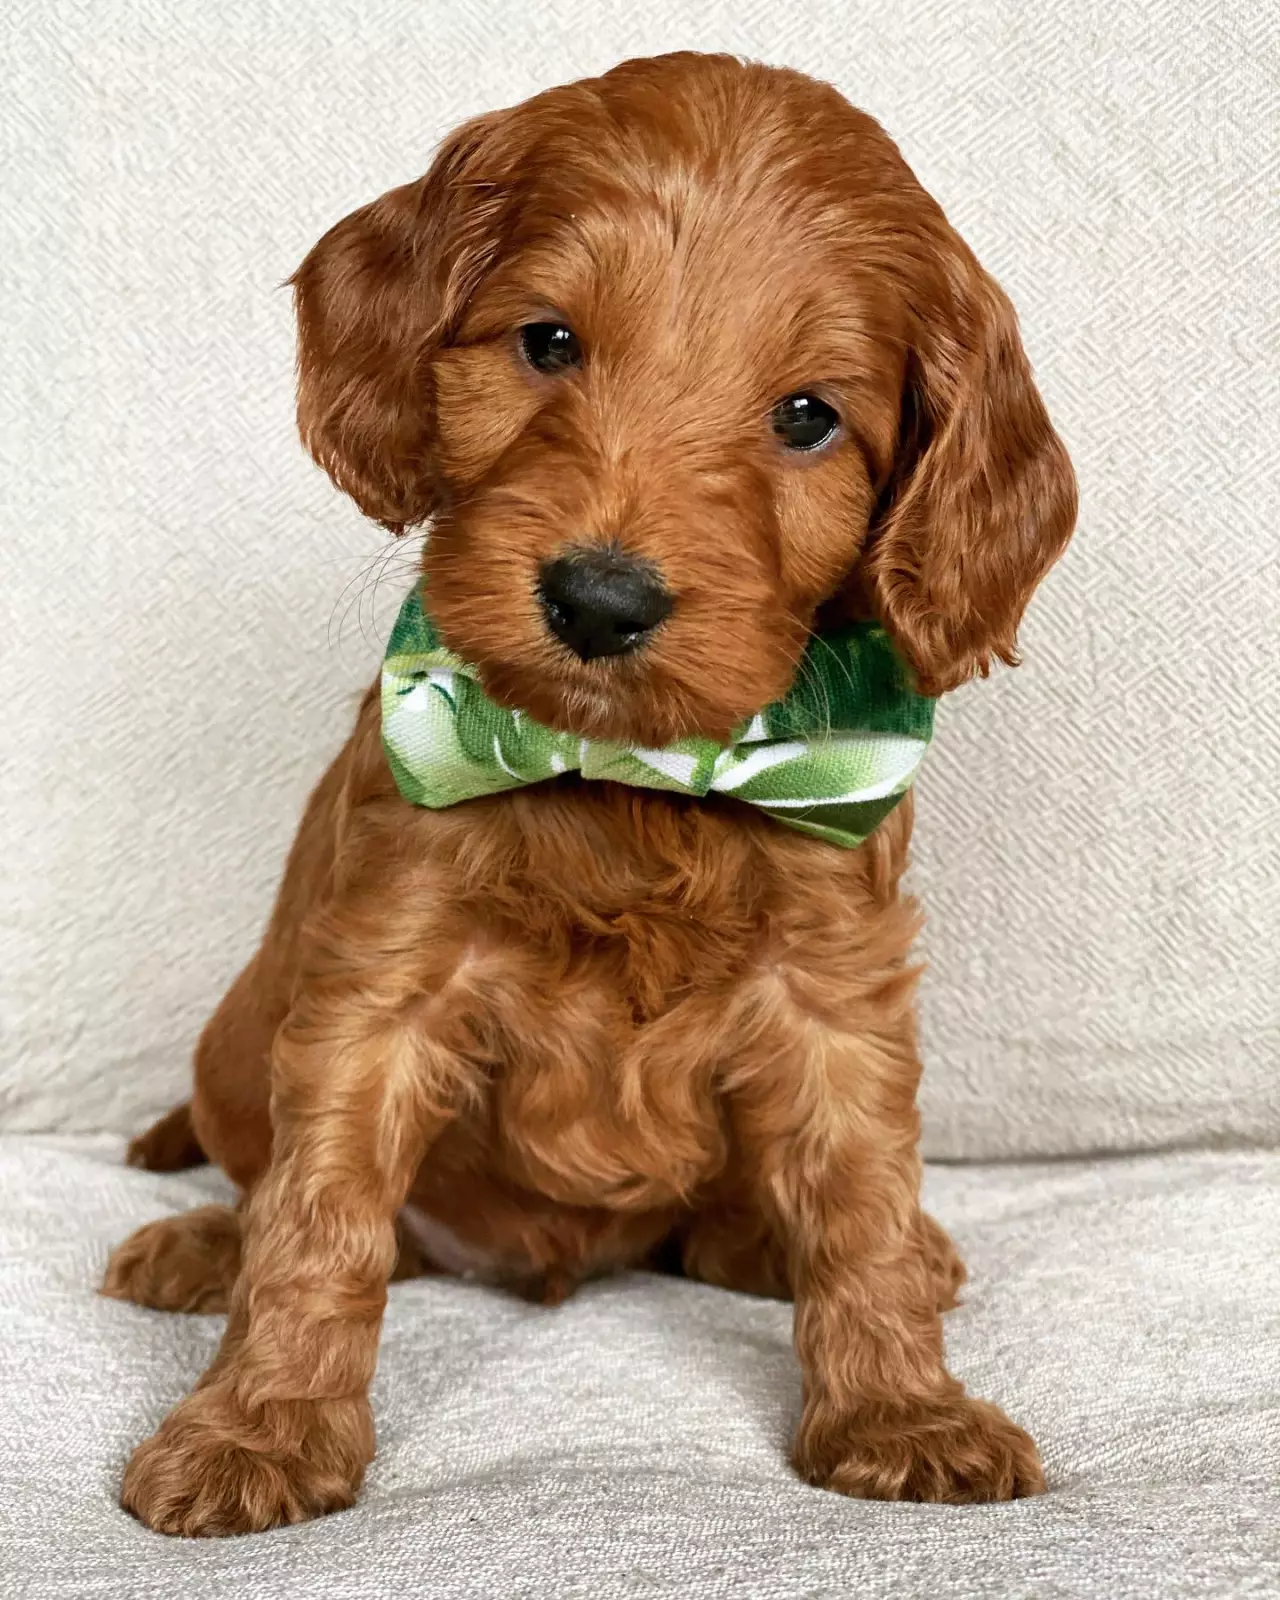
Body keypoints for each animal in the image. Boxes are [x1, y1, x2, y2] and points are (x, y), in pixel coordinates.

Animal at [103, 51, 1076, 1536]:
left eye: (808, 416)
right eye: (548, 342)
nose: (600, 601)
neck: (630, 781)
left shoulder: (834, 989)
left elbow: (858, 1199)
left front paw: (902, 1409)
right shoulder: (382, 979)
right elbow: (321, 1213)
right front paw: (257, 1428)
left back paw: (804, 1246)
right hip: (232, 1043)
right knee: (273, 1181)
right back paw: (200, 1244)